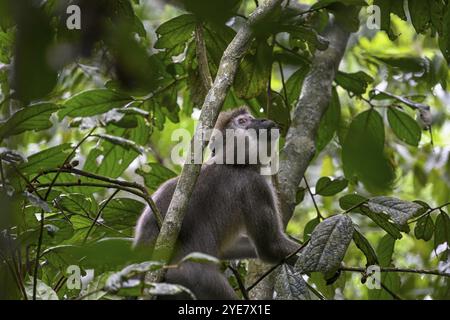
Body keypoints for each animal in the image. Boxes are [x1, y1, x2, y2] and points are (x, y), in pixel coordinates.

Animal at [135, 107, 300, 300]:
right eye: (243, 121)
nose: (262, 119)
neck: (231, 162)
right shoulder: (255, 185)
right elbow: (270, 246)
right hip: (194, 279)